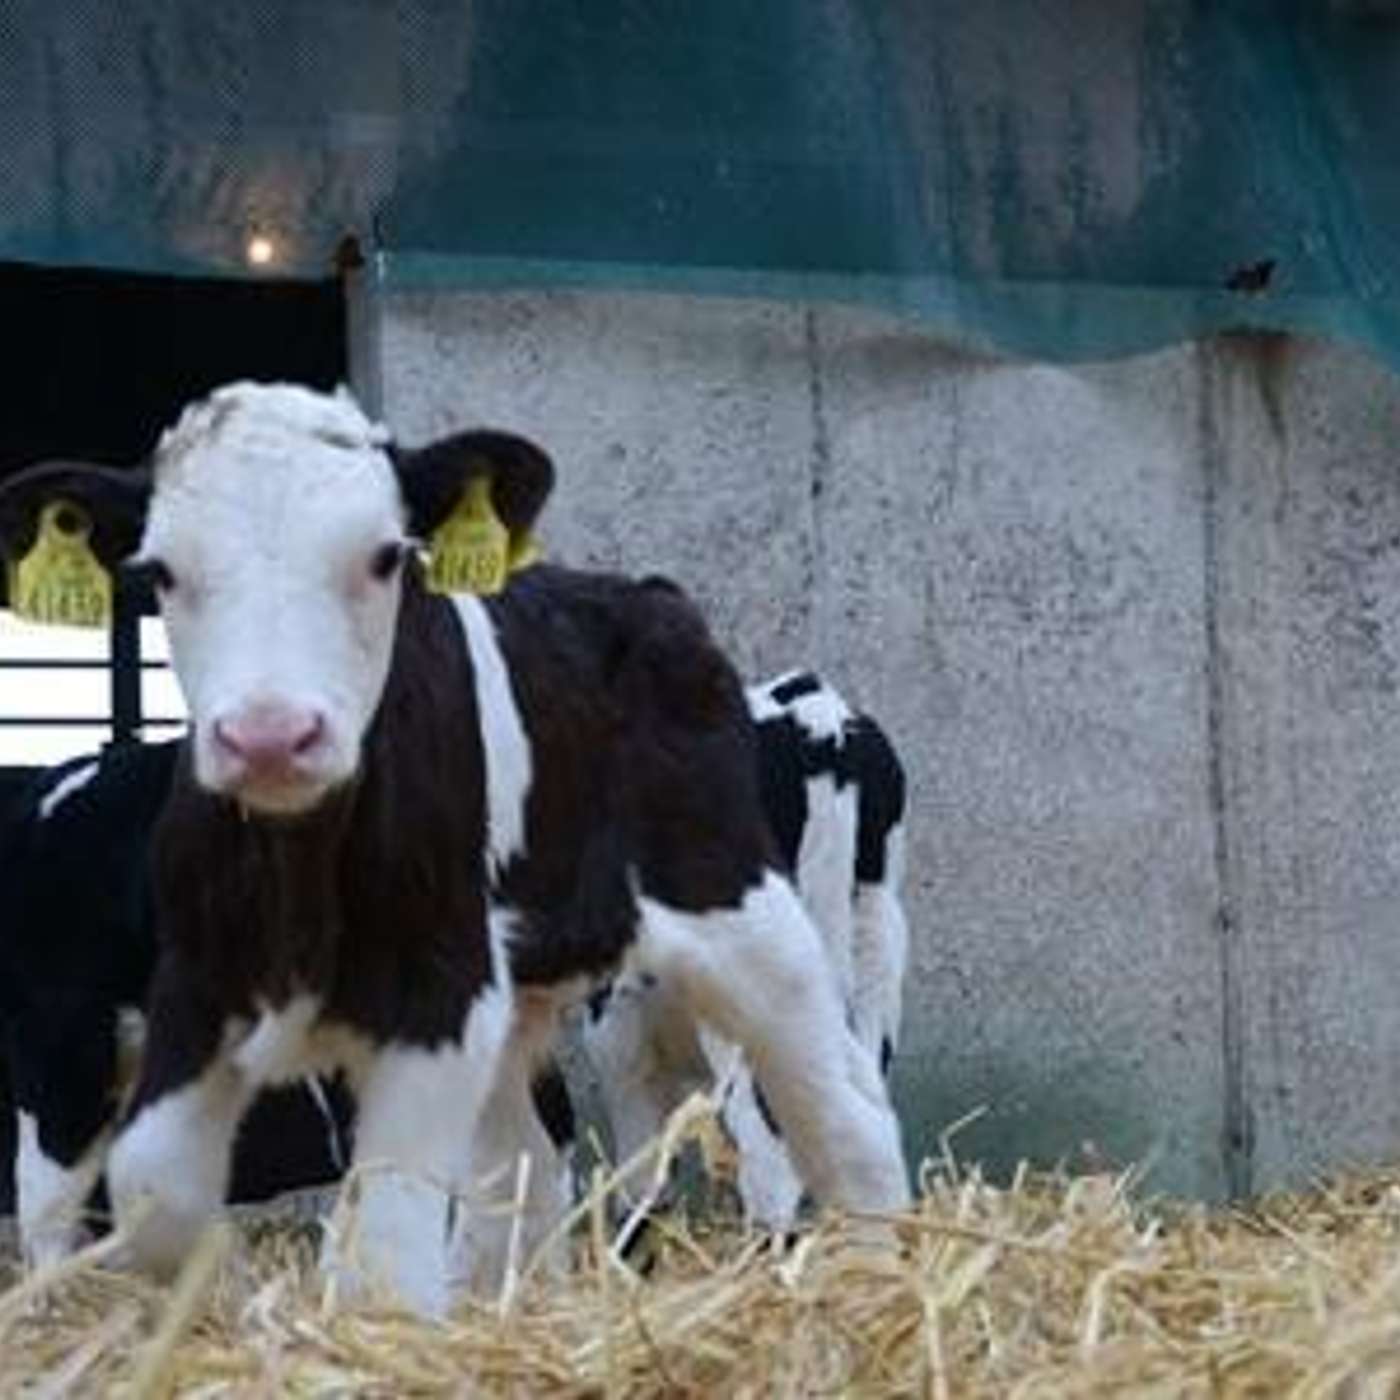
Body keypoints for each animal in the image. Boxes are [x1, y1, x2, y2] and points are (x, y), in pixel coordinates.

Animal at [0, 382, 908, 1314]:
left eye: (384, 558)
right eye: (161, 573)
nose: (269, 737)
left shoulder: (429, 995)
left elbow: (381, 1243)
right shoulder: (194, 988)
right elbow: (157, 1185)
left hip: (738, 911)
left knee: (832, 1121)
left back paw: (877, 1277)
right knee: (533, 1163)